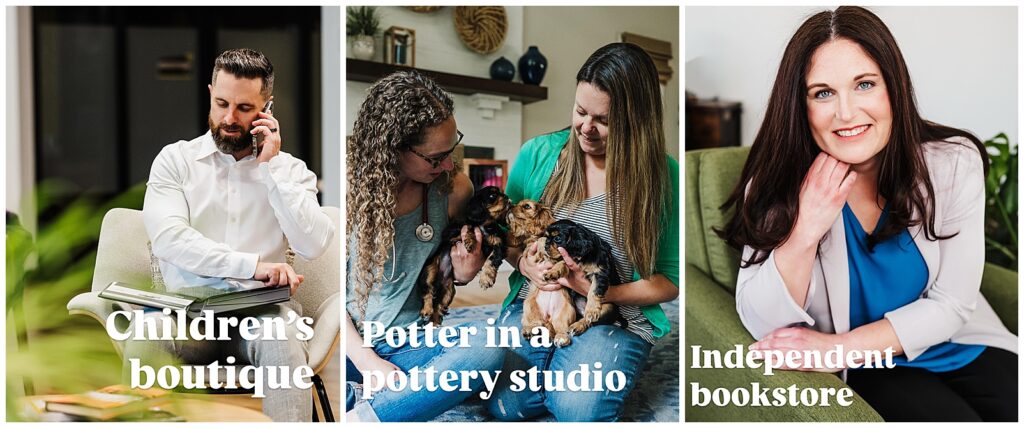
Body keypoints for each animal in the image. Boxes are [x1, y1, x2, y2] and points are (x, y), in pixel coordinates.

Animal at [417, 186, 509, 323]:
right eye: (492, 196)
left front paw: (486, 279)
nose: (507, 197)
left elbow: (492, 259)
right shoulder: (450, 232)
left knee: (439, 306)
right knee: (427, 292)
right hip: (428, 271)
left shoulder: (499, 245)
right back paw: (426, 310)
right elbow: (468, 227)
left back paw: (434, 323)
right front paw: (470, 241)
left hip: (448, 290)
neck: (485, 224)